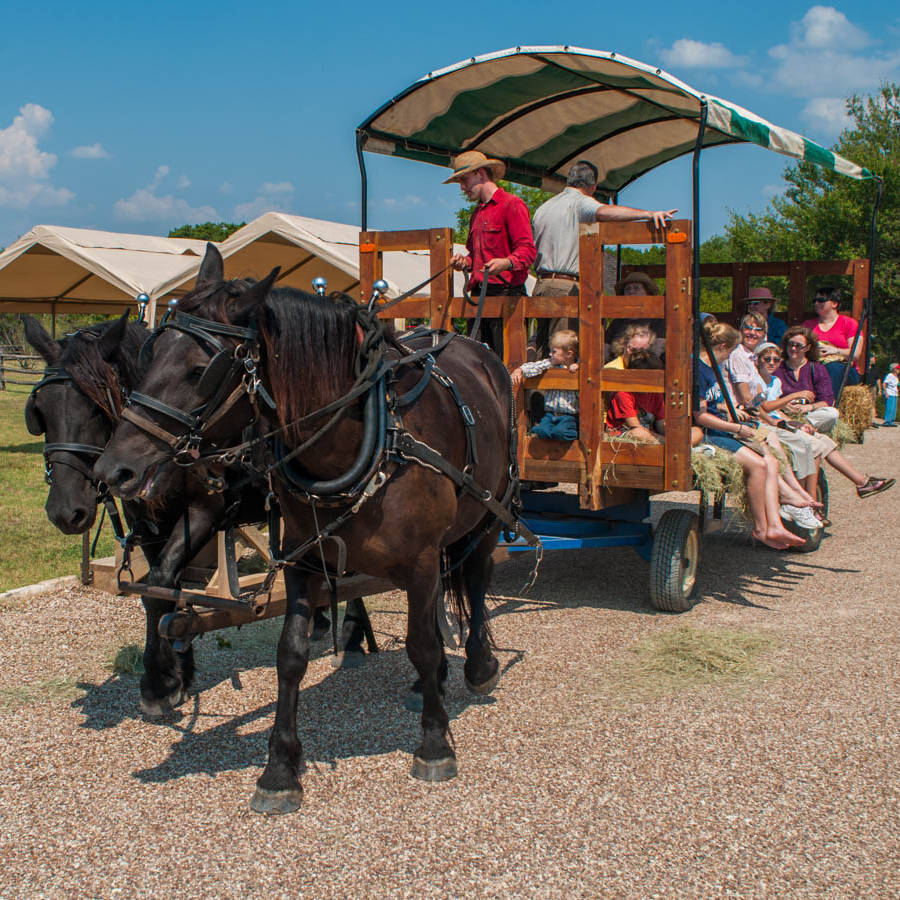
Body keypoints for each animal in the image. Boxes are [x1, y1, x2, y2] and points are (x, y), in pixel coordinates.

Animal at [95, 244, 516, 816]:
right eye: (149, 355)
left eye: (202, 369)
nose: (112, 469)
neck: (364, 439)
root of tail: (472, 344)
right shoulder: (301, 556)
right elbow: (291, 656)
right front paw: (279, 769)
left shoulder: (423, 558)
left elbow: (423, 644)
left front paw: (435, 743)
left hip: (491, 512)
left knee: (472, 580)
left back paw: (477, 665)